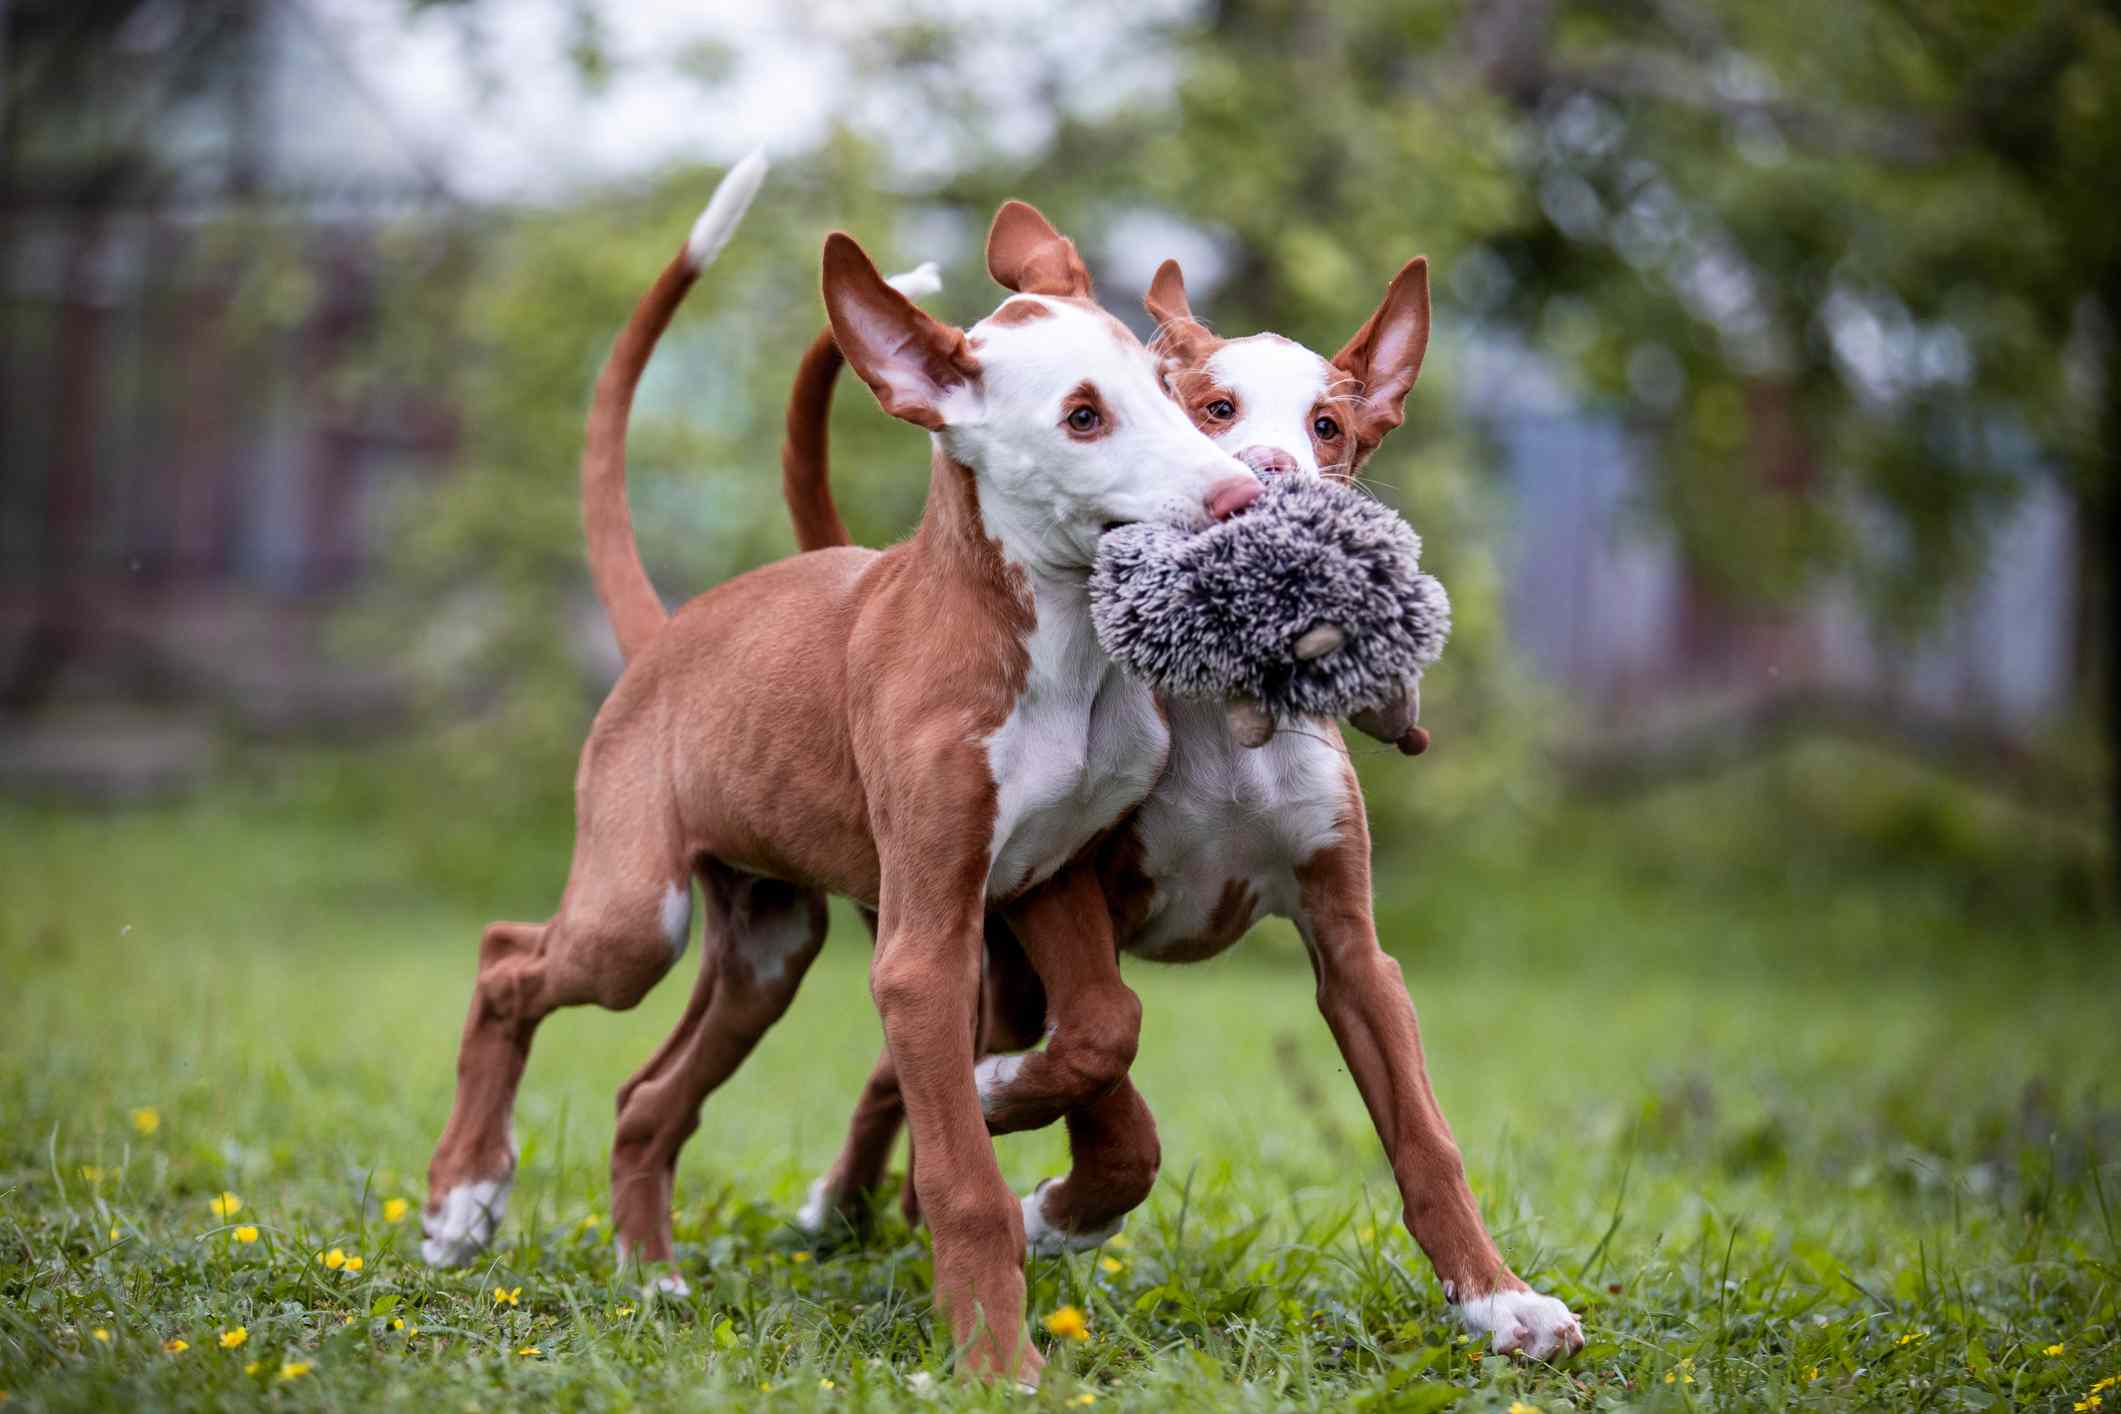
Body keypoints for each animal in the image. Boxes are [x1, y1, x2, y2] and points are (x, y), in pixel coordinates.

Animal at [422, 154, 1264, 1382]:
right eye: (1082, 417)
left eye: (1169, 386)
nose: (1242, 500)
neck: (1052, 653)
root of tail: (668, 633)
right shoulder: (922, 950)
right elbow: (962, 1181)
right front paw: (996, 1367)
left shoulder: (1044, 876)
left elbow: (1108, 1025)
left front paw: (1015, 1105)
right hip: (637, 916)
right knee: (505, 961)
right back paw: (464, 1200)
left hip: (767, 943)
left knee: (645, 1097)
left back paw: (650, 1276)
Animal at [784, 251, 1594, 1356]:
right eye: (1214, 407)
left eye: (1328, 425)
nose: (1270, 473)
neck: (1225, 717)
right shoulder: (1073, 892)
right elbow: (1104, 1053)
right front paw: (1056, 1202)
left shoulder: (1351, 945)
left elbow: (1425, 1136)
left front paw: (1497, 1296)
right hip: (983, 942)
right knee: (914, 1061)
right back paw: (861, 1191)